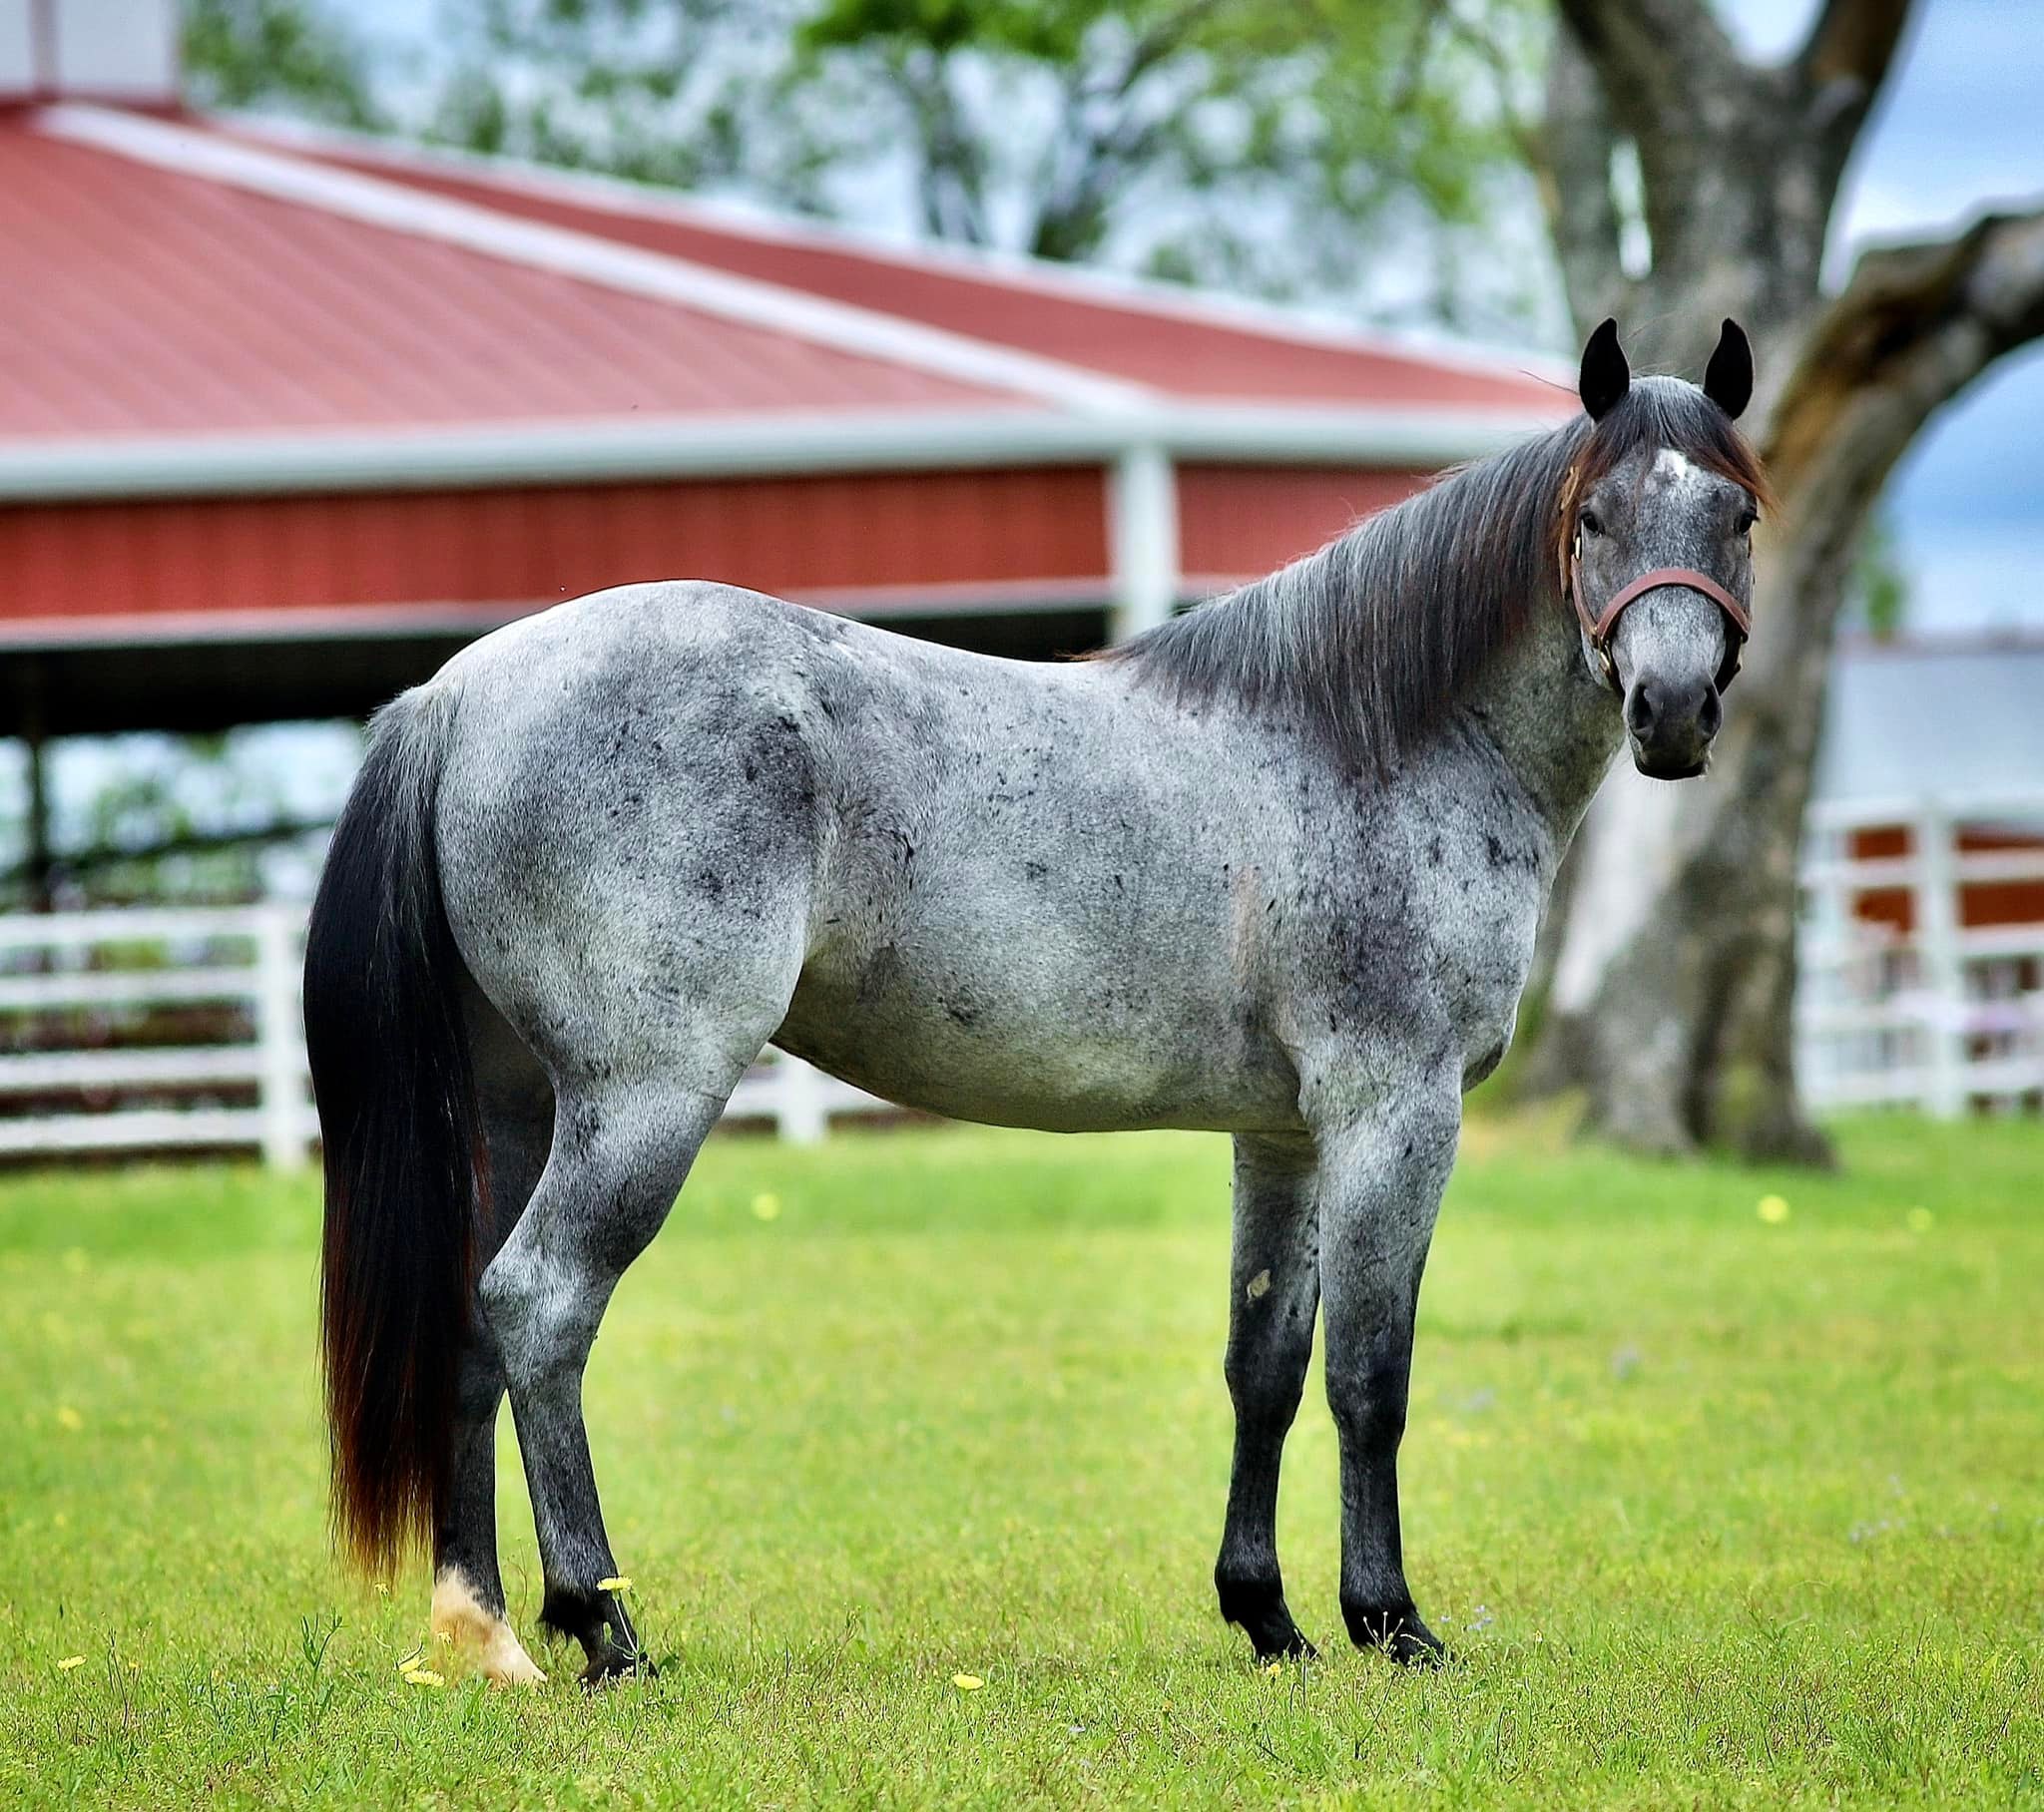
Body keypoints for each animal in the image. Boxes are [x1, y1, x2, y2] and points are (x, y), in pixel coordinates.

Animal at [305, 318, 1770, 1685]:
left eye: (1738, 514)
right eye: (1593, 517)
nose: (1672, 711)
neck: (1365, 741)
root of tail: (458, 693)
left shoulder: (1284, 1134)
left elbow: (1264, 1363)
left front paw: (1268, 1618)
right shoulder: (1393, 1114)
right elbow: (1372, 1372)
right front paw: (1388, 1622)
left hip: (512, 1108)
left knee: (472, 1326)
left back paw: (485, 1634)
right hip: (642, 1101)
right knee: (543, 1305)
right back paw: (603, 1630)